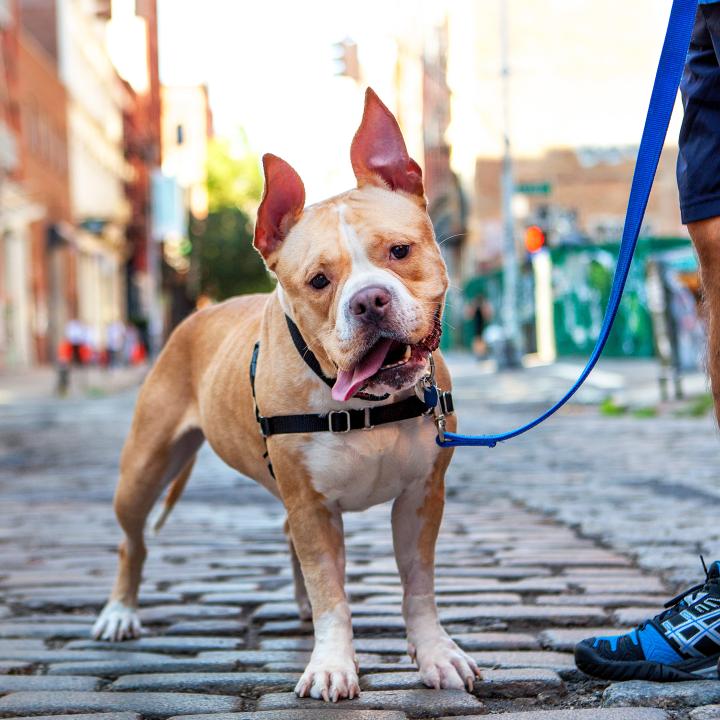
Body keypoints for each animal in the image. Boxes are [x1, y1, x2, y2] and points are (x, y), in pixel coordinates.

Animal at [93, 87, 480, 700]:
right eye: (319, 281)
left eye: (400, 251)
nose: (369, 300)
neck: (361, 404)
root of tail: (194, 315)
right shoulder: (312, 507)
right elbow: (332, 593)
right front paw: (332, 664)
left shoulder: (420, 498)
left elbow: (418, 587)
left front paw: (436, 655)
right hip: (144, 468)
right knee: (133, 540)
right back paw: (119, 613)